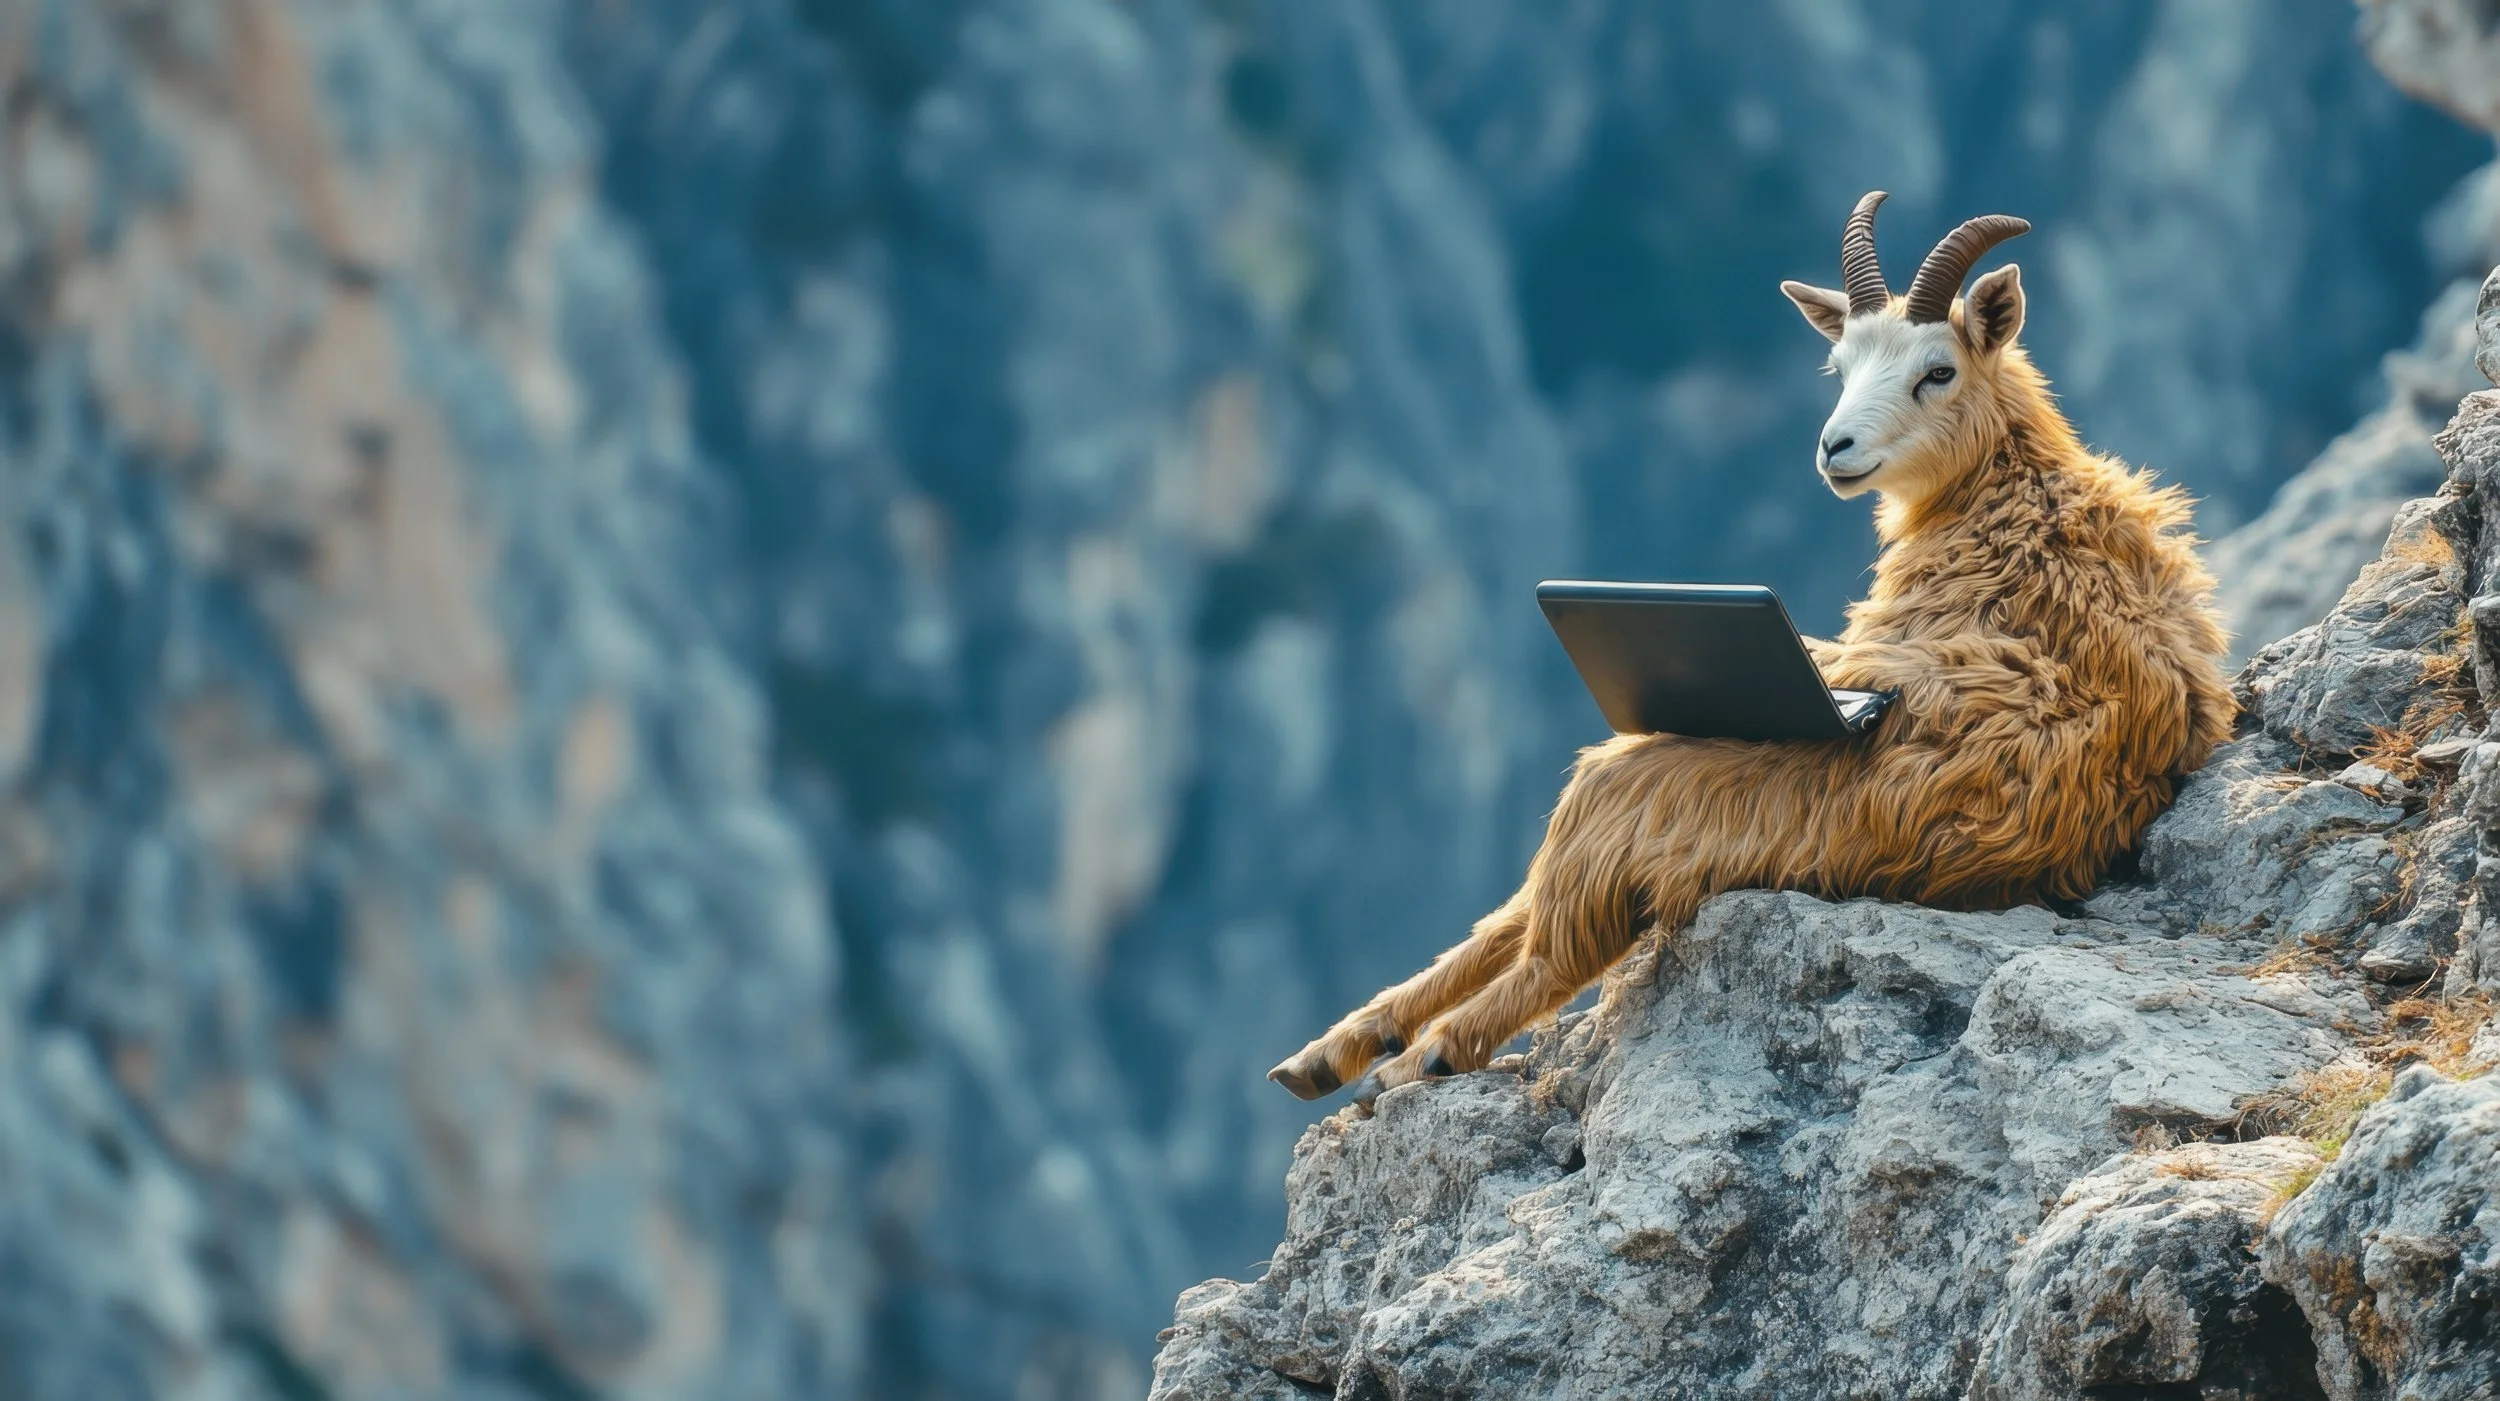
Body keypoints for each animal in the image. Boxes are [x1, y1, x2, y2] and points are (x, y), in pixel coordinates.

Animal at [1269, 192, 2236, 1102]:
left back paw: (1416, 1056)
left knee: (1553, 932)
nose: (1835, 447)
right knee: (1518, 917)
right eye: (1839, 367)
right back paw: (1333, 1050)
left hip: (1696, 797)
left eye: (1938, 371)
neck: (2016, 491)